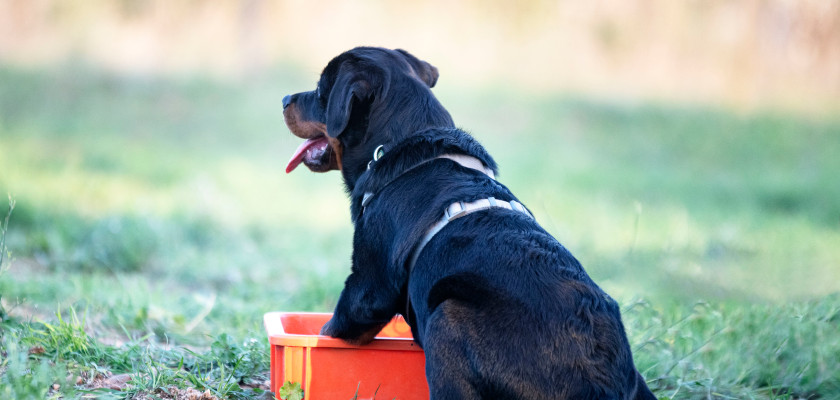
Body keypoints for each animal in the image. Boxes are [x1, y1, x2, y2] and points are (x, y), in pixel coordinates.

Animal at [284, 47, 656, 400]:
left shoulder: (368, 284)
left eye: (321, 91)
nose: (285, 99)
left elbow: (338, 324)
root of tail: (599, 380)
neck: (398, 146)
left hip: (448, 321)